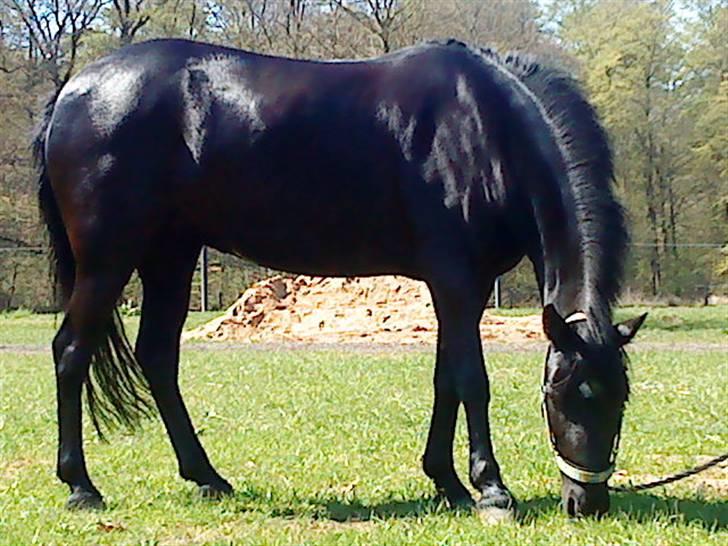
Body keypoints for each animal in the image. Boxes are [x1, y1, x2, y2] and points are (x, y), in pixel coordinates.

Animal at [34, 38, 646, 518]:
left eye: (620, 399)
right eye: (563, 394)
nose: (587, 503)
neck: (482, 130)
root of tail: (74, 90)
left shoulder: (460, 290)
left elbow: (445, 379)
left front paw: (446, 482)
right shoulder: (454, 280)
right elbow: (473, 380)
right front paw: (491, 489)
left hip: (170, 256)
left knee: (158, 357)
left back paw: (207, 477)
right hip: (108, 260)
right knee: (71, 352)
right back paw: (81, 487)